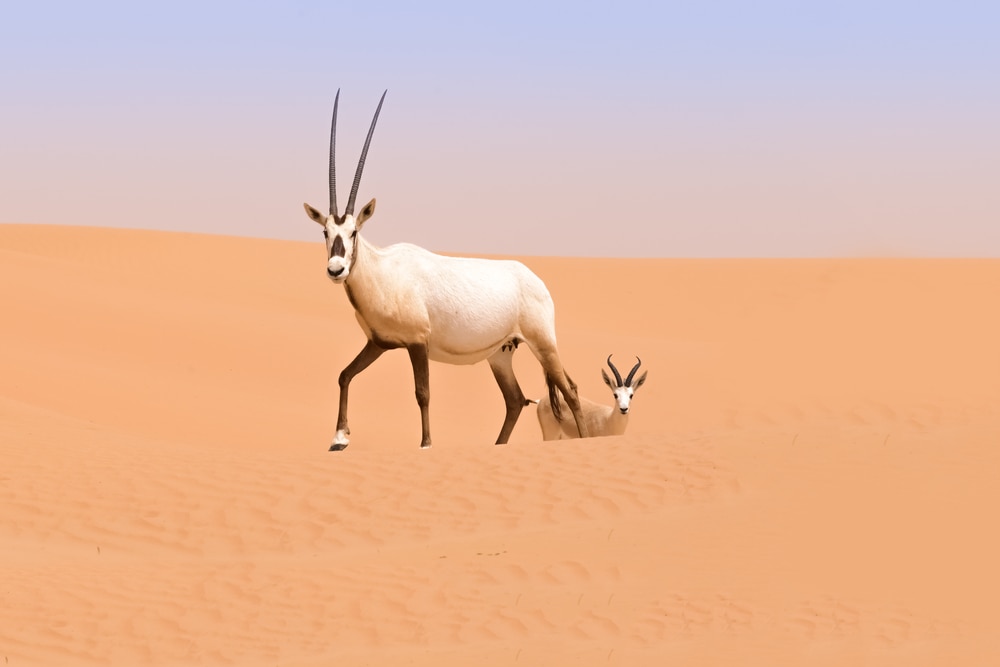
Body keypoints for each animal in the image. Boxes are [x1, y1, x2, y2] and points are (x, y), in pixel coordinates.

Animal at [302, 90, 589, 450]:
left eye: (354, 232)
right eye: (325, 232)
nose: (336, 269)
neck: (384, 273)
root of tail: (535, 280)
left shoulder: (417, 343)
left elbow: (422, 393)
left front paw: (426, 444)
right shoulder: (379, 343)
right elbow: (344, 374)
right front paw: (339, 438)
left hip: (544, 344)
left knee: (571, 390)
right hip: (501, 354)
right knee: (514, 399)